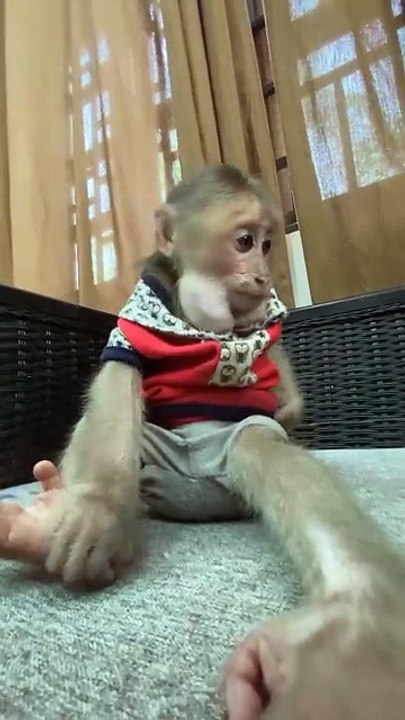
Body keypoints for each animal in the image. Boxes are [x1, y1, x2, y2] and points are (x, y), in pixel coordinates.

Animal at [3, 164, 405, 719]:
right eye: (244, 242)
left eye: (267, 244)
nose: (263, 273)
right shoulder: (143, 305)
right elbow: (121, 376)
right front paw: (98, 508)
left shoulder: (265, 318)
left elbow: (272, 360)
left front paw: (288, 403)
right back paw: (47, 523)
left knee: (260, 448)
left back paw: (353, 619)